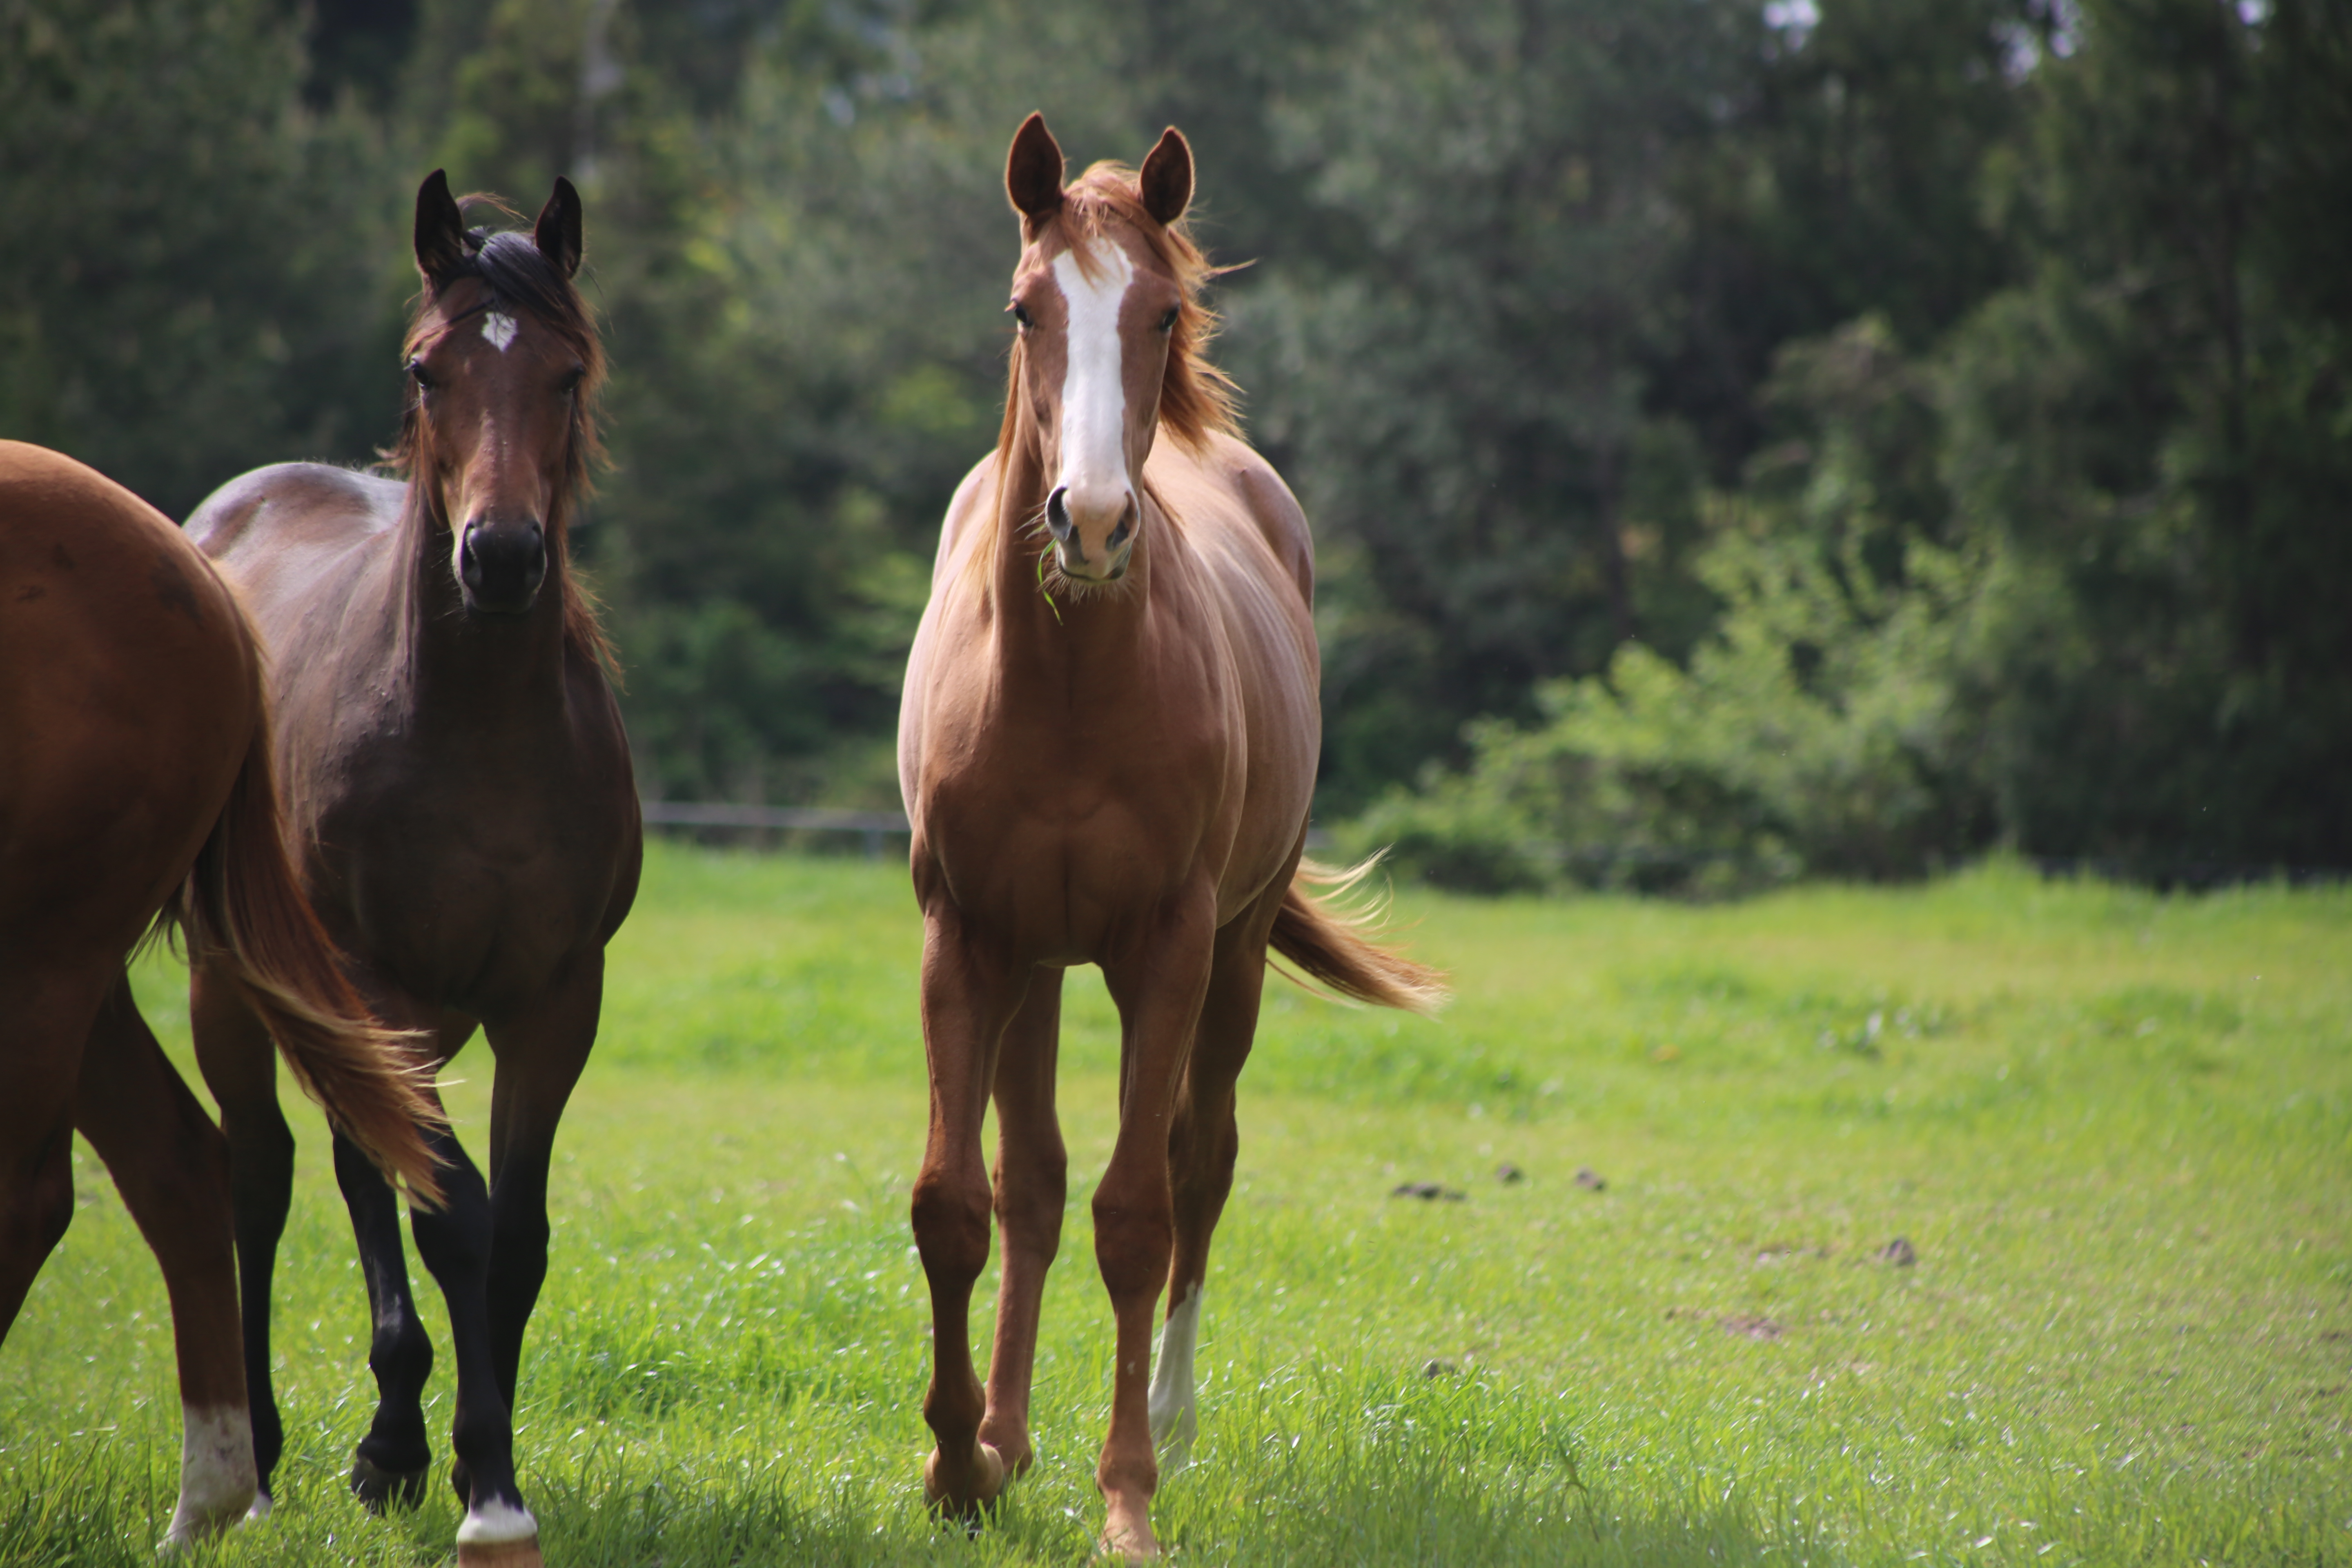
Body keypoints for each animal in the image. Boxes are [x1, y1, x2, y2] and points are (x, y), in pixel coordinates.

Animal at [0, 439, 442, 1542]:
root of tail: (209, 591)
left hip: (45, 944)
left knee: (42, 1192)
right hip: (77, 960)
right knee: (185, 1164)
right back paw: (214, 1496)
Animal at [183, 172, 639, 1568]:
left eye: (564, 372)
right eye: (427, 370)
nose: (499, 558)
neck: (476, 727)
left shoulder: (556, 998)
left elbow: (518, 1236)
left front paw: (478, 1461)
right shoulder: (374, 979)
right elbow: (451, 1211)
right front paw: (480, 1475)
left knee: (353, 1165)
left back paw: (390, 1440)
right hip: (243, 987)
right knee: (264, 1177)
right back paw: (270, 1454)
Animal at [898, 116, 1439, 1561]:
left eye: (1162, 314)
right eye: (1026, 309)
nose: (1089, 522)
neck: (1071, 687)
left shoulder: (1171, 948)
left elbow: (1138, 1216)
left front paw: (1128, 1497)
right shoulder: (966, 936)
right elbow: (958, 1204)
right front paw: (958, 1467)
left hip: (1234, 956)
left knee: (1201, 1169)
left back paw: (1173, 1421)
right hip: (1034, 964)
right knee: (1029, 1184)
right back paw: (1007, 1434)